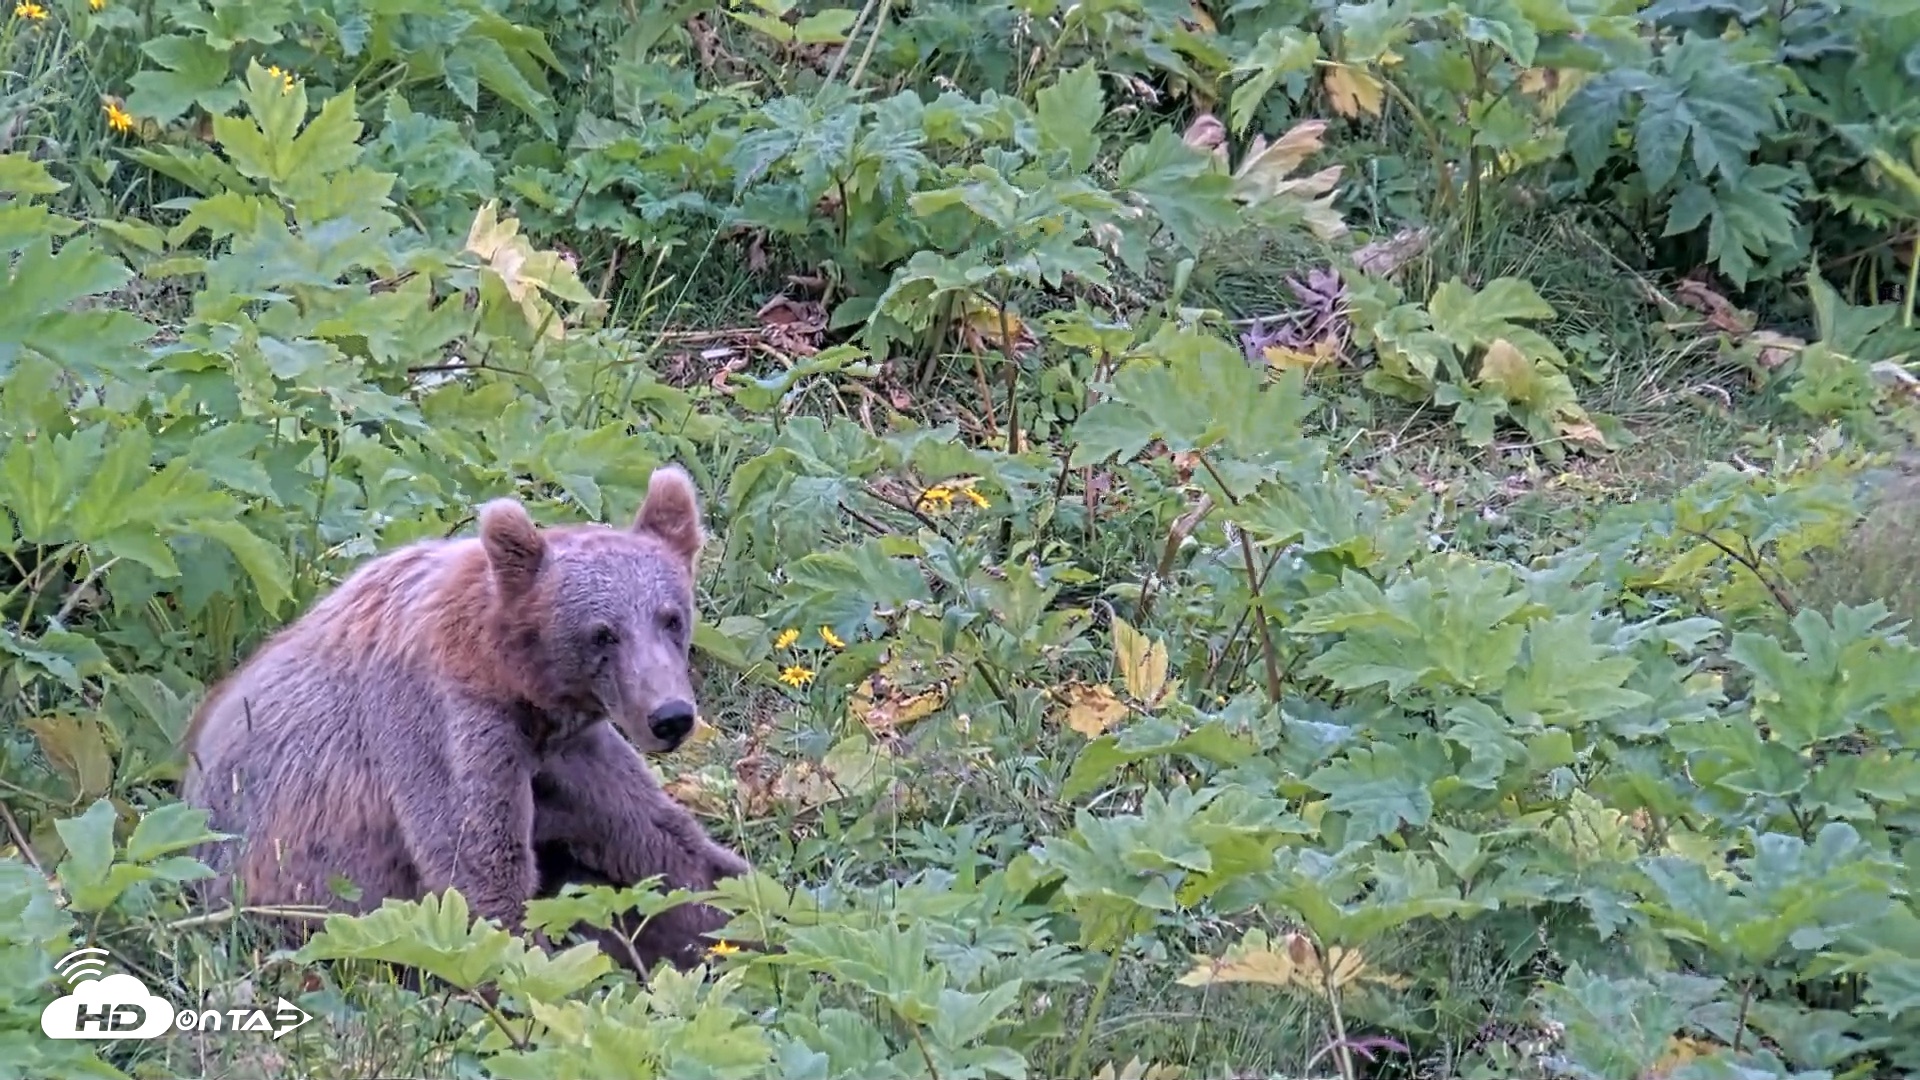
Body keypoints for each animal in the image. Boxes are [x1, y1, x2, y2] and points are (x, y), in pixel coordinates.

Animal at [178, 465, 750, 975]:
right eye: (603, 633)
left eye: (671, 618)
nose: (670, 716)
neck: (512, 679)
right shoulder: (441, 723)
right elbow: (474, 863)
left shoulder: (569, 752)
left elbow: (665, 844)